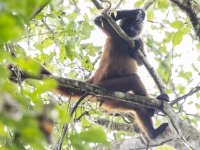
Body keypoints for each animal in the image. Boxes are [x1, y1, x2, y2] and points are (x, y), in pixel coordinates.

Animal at [9, 8, 169, 139]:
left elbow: (140, 60)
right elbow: (100, 20)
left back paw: (152, 131)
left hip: (108, 100)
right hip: (104, 87)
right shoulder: (116, 34)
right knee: (133, 80)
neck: (126, 39)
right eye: (129, 26)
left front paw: (138, 43)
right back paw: (152, 113)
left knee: (136, 106)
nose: (133, 31)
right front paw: (138, 11)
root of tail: (94, 79)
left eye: (134, 27)